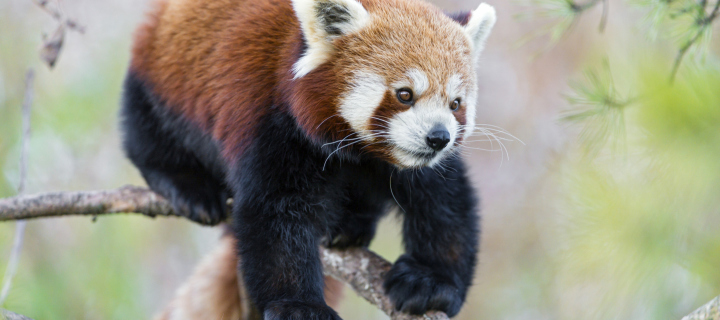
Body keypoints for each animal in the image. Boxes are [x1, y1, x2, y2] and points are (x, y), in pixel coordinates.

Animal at [124, 0, 496, 318]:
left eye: (455, 103)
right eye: (405, 94)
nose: (438, 137)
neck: (359, 150)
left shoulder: (412, 162)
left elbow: (445, 202)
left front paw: (430, 282)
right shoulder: (274, 122)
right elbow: (276, 215)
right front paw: (299, 305)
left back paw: (351, 224)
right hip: (161, 77)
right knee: (148, 132)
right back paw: (188, 187)